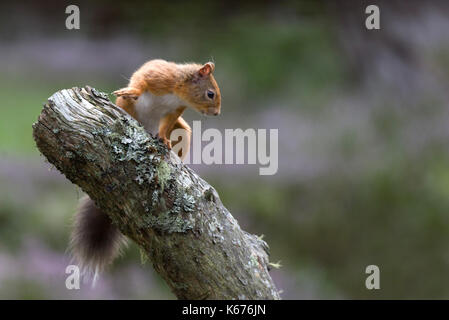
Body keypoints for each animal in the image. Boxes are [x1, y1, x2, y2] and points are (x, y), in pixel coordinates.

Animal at [70, 59, 222, 280]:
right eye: (210, 93)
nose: (217, 113)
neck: (178, 90)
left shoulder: (174, 112)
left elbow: (166, 125)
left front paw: (164, 140)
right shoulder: (155, 75)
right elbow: (141, 83)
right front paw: (130, 90)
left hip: (182, 131)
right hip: (128, 109)